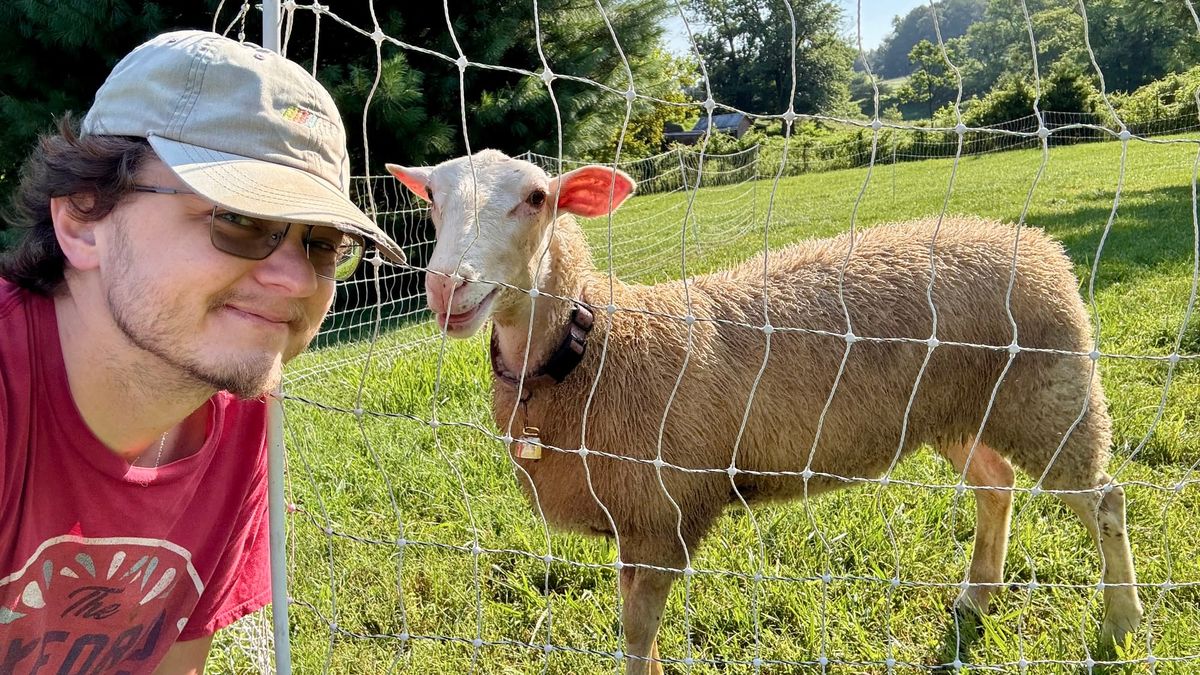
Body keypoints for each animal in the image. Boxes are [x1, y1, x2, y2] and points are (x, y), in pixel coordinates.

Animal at [386, 149, 1142, 674]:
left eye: (537, 198)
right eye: (434, 202)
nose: (446, 287)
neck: (595, 342)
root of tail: (1038, 245)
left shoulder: (664, 514)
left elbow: (637, 634)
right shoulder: (637, 519)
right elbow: (638, 633)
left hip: (1050, 394)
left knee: (1104, 499)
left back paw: (1123, 623)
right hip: (958, 407)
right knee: (996, 485)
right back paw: (976, 597)